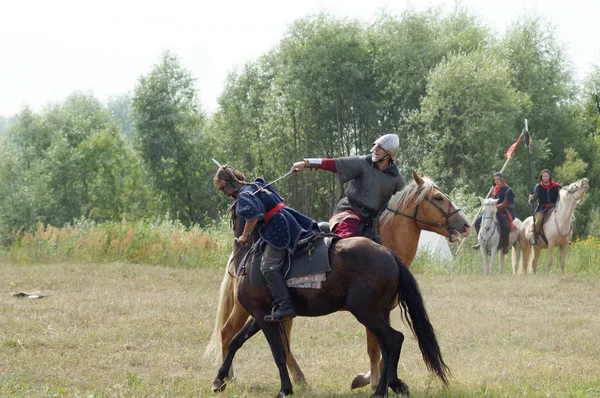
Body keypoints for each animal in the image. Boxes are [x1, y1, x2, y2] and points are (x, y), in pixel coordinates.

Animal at [206, 171, 474, 392]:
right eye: (438, 198)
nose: (465, 224)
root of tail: (388, 255)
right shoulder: (262, 315)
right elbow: (247, 343)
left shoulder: (262, 315)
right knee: (229, 333)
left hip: (362, 311)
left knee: (392, 341)